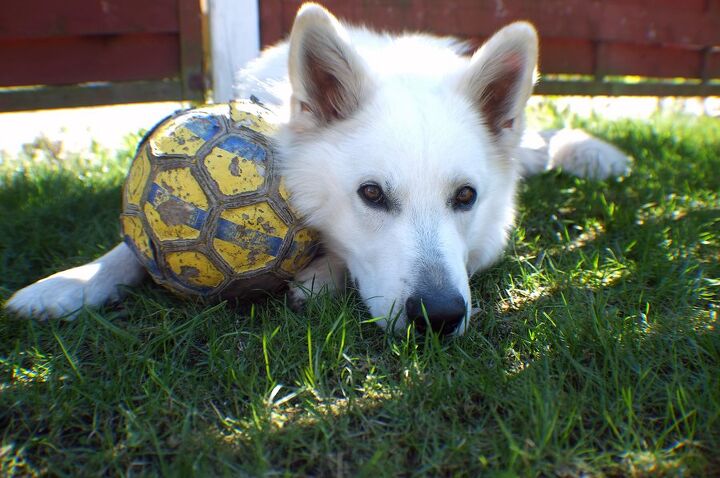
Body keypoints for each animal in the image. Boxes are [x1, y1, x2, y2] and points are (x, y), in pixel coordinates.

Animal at [2, 2, 628, 336]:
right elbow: (132, 246)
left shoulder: (490, 236)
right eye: (371, 194)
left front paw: (321, 276)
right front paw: (70, 283)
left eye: (465, 197)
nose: (440, 317)